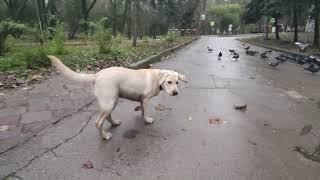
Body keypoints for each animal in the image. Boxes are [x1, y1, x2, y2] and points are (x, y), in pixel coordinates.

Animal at [48, 55, 186, 140]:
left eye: (177, 82)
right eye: (169, 82)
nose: (175, 93)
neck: (157, 78)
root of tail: (97, 75)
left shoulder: (142, 99)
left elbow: (141, 108)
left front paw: (139, 112)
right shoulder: (146, 99)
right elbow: (145, 111)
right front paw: (147, 120)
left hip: (112, 101)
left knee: (108, 117)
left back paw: (114, 123)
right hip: (109, 102)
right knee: (98, 122)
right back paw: (104, 136)